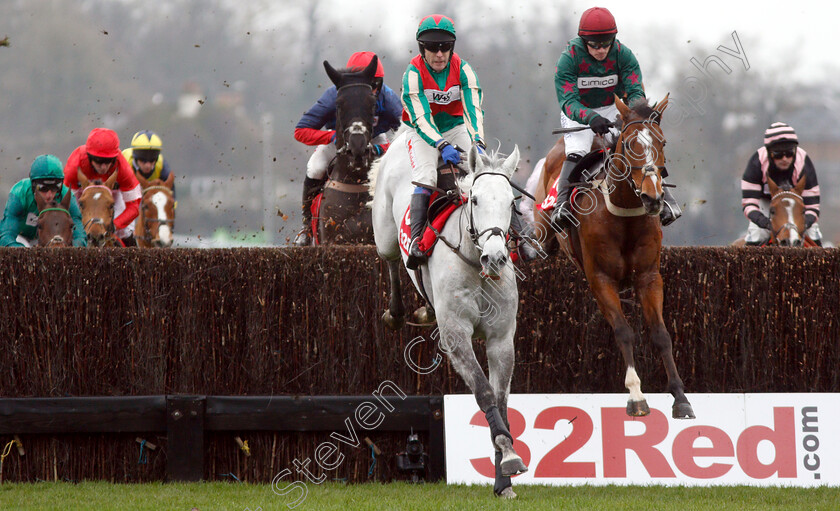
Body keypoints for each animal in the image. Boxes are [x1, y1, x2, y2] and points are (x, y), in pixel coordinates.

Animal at [372, 138, 528, 498]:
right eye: (475, 198)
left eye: (511, 202)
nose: (496, 257)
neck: (474, 263)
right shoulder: (456, 335)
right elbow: (485, 393)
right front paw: (509, 455)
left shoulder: (501, 338)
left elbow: (501, 399)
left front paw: (504, 475)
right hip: (385, 234)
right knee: (392, 259)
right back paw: (396, 312)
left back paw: (425, 308)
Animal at [540, 95, 696, 420]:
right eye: (628, 144)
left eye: (662, 142)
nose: (653, 198)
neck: (623, 215)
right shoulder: (601, 280)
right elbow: (624, 332)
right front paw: (636, 396)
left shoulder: (649, 277)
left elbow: (661, 334)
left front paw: (680, 396)